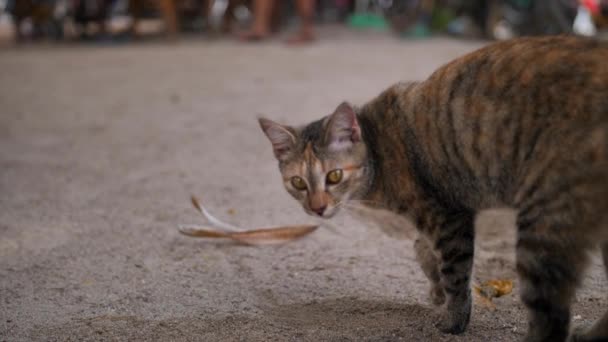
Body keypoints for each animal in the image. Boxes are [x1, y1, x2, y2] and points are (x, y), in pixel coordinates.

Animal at [258, 35, 608, 342]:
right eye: (298, 182)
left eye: (333, 176)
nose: (317, 208)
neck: (379, 147)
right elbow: (424, 251)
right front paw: (435, 287)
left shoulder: (448, 216)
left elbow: (454, 273)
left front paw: (453, 318)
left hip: (544, 225)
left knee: (551, 318)